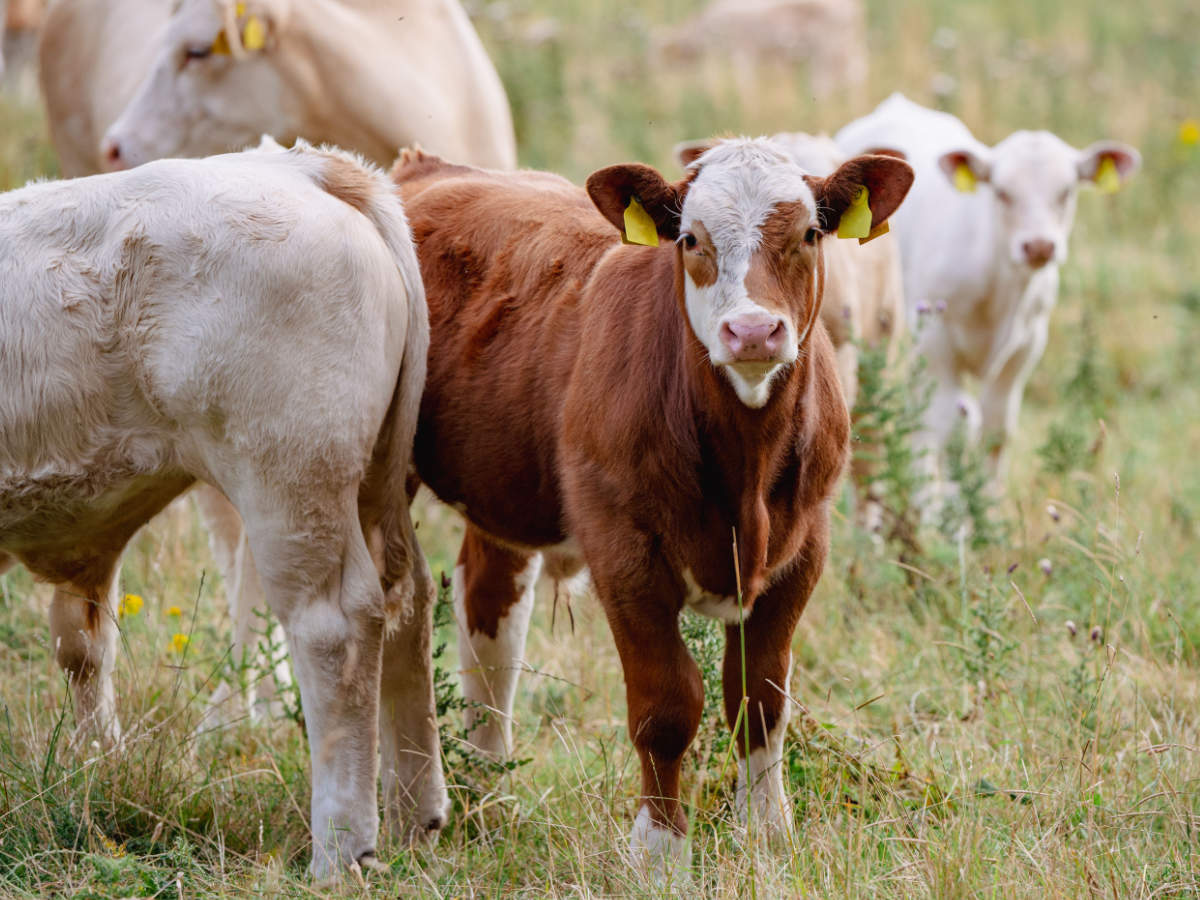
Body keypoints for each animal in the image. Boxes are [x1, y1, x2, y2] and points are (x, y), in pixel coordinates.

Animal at [0, 141, 447, 878]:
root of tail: (302, 167)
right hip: (374, 480)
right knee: (406, 602)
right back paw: (416, 817)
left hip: (289, 483)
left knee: (336, 630)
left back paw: (340, 850)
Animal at [390, 140, 912, 875]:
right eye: (691, 240)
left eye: (810, 234)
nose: (754, 331)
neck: (744, 472)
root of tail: (427, 166)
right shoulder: (624, 552)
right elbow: (667, 705)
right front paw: (660, 849)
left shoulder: (804, 547)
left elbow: (760, 695)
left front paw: (765, 832)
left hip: (504, 488)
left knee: (489, 613)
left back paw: (489, 794)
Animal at [836, 94, 1140, 497]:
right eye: (1001, 192)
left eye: (1066, 192)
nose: (1039, 246)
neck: (999, 286)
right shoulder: (933, 341)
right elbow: (939, 426)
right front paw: (933, 504)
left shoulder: (1026, 346)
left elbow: (996, 430)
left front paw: (984, 502)